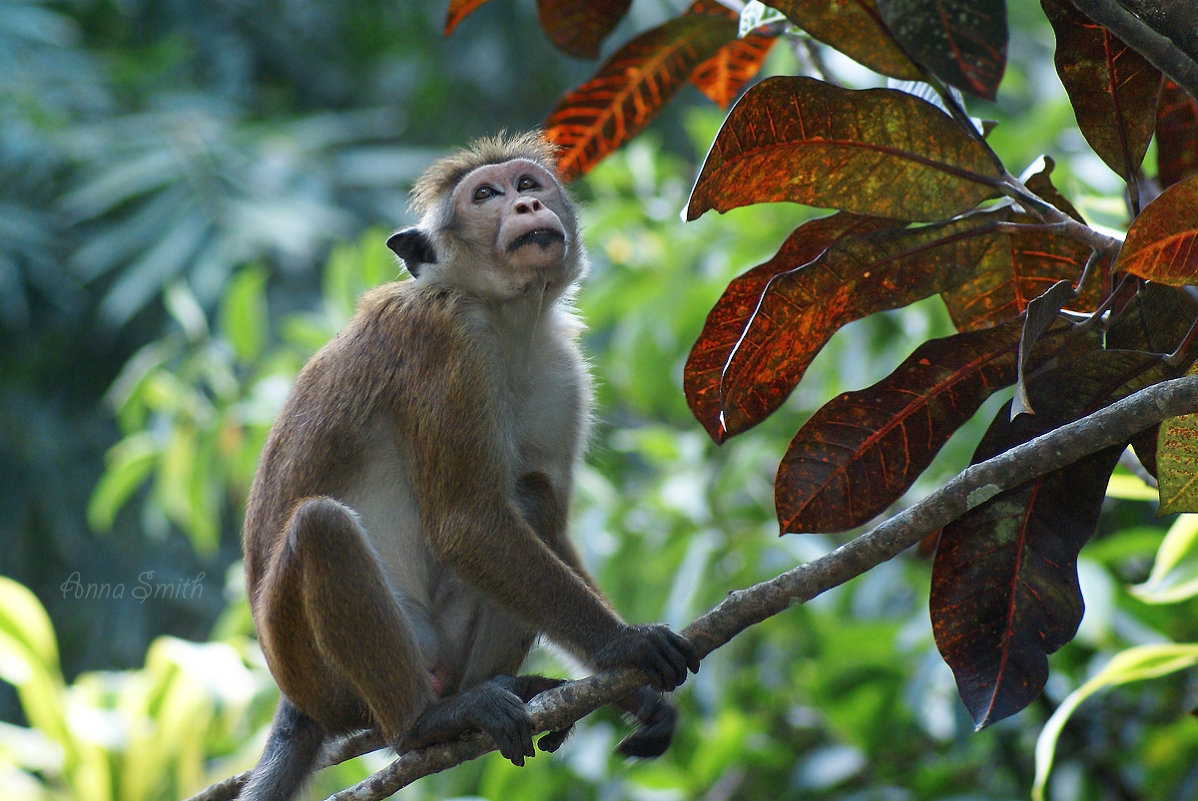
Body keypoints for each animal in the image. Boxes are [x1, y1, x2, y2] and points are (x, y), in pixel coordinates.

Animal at [237, 132, 699, 799]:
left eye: (527, 185)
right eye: (485, 196)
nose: (528, 206)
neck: (504, 316)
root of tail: (295, 702)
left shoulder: (561, 370)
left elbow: (550, 526)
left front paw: (633, 692)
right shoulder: (445, 345)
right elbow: (465, 523)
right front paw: (626, 645)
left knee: (530, 497)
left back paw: (505, 692)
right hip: (323, 677)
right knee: (322, 526)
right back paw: (425, 724)